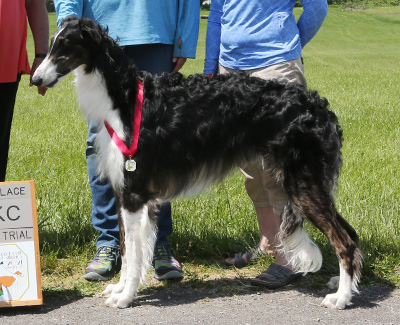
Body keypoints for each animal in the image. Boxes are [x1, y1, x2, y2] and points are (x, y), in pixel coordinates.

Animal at [32, 15, 362, 308]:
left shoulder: (134, 192)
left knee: (344, 241)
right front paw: (119, 289)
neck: (123, 96)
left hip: (304, 185)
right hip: (312, 185)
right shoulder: (126, 191)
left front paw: (125, 298)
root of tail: (320, 108)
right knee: (351, 234)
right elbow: (127, 251)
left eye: (64, 45)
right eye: (51, 44)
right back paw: (344, 284)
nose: (35, 79)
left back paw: (341, 298)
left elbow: (135, 255)